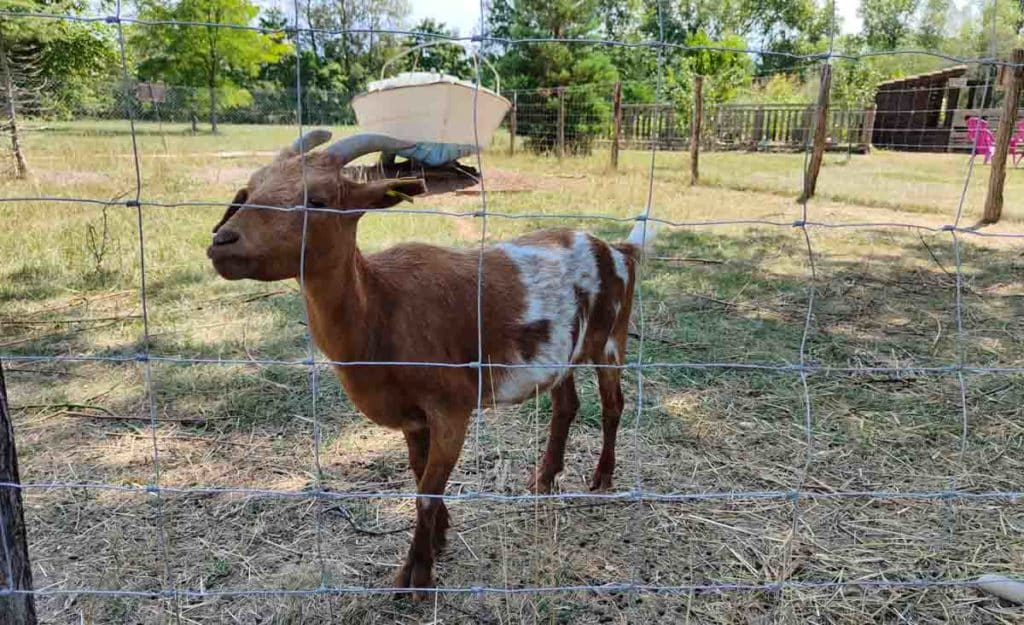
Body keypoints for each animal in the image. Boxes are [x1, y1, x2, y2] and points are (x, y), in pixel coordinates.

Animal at [206, 130, 655, 594]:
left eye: (319, 200)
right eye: (248, 191)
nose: (223, 242)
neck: (382, 308)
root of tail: (616, 249)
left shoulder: (451, 408)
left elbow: (425, 490)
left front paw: (416, 577)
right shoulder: (413, 418)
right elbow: (420, 475)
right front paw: (439, 538)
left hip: (611, 338)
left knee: (613, 404)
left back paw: (602, 479)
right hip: (561, 352)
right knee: (566, 406)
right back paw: (542, 480)